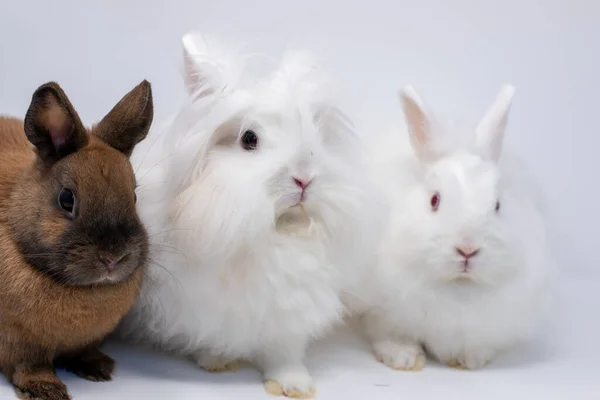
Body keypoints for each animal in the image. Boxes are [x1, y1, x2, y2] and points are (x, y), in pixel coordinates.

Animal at [0, 79, 154, 398]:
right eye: (66, 199)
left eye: (133, 196)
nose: (113, 257)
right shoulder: (18, 343)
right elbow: (29, 366)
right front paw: (46, 389)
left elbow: (84, 351)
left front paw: (99, 369)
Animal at [119, 32, 386, 398]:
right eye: (249, 139)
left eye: (316, 136)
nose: (304, 178)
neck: (272, 233)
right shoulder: (203, 304)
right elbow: (215, 335)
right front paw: (216, 361)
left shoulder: (291, 309)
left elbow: (284, 351)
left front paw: (295, 385)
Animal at [364, 84, 560, 372]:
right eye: (434, 200)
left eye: (498, 205)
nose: (468, 249)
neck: (458, 287)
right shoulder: (385, 312)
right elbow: (391, 334)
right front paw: (403, 358)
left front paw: (471, 360)